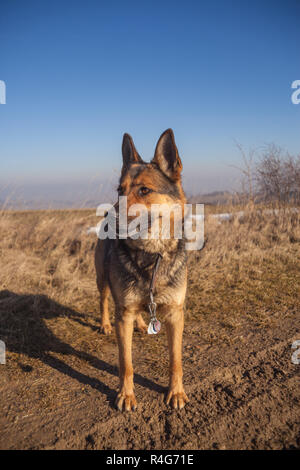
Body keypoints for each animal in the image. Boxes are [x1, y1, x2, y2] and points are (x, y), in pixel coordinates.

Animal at [95, 129, 189, 412]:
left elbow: (176, 360)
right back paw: (105, 324)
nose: (111, 218)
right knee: (104, 299)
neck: (151, 256)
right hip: (103, 279)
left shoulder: (175, 314)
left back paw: (139, 323)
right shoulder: (123, 314)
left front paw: (176, 392)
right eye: (120, 190)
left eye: (144, 190)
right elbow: (126, 363)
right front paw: (126, 395)